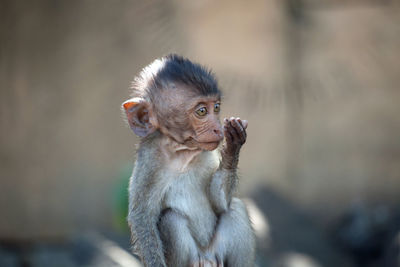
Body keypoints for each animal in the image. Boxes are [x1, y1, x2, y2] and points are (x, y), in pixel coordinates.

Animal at [120, 55, 256, 267]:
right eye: (201, 111)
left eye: (216, 107)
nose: (218, 128)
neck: (183, 151)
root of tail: (207, 257)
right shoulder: (149, 160)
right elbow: (142, 217)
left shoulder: (209, 153)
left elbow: (220, 204)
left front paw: (233, 145)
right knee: (171, 218)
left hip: (217, 253)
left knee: (236, 208)